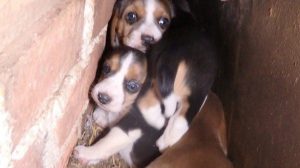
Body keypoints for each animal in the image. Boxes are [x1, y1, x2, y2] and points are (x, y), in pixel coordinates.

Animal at [73, 4, 217, 167]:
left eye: (133, 86)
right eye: (106, 69)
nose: (102, 97)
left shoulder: (132, 126)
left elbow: (108, 142)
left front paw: (86, 153)